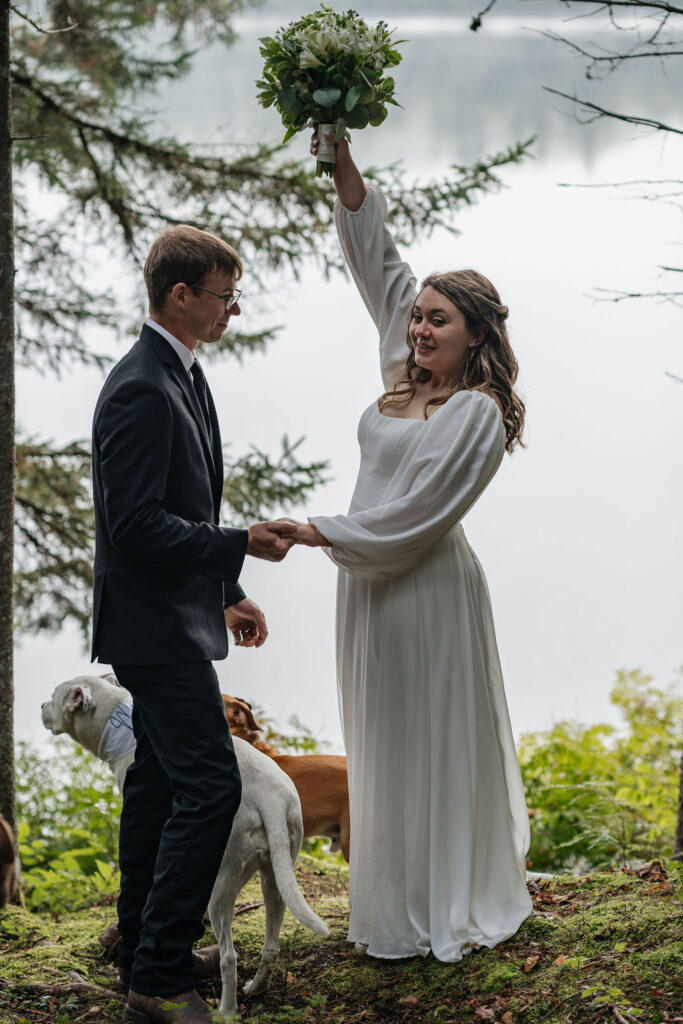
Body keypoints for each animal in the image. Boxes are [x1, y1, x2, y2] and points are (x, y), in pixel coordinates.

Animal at [41, 671, 329, 1015]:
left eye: (54, 695)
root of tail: (270, 798)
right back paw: (254, 989)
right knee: (271, 945)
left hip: (221, 882)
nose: (41, 706)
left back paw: (226, 1011)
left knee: (229, 956)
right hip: (276, 875)